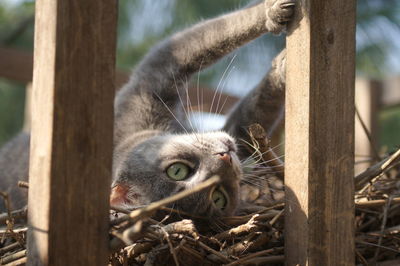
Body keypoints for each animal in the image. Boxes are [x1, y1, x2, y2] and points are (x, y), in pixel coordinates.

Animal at [0, 0, 294, 217]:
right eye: (219, 197)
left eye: (177, 169)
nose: (224, 158)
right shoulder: (154, 73)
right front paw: (275, 16)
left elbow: (251, 112)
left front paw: (279, 56)